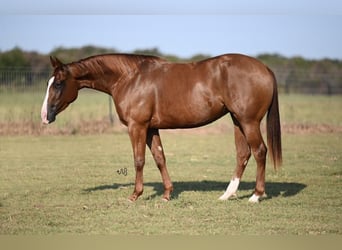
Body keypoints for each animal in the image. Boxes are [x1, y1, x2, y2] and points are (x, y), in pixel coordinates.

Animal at [41, 53, 282, 203]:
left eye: (59, 83)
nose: (45, 116)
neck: (130, 78)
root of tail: (265, 68)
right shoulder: (151, 129)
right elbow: (159, 158)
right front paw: (167, 194)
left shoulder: (137, 127)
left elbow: (139, 160)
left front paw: (135, 195)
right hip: (237, 120)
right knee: (243, 154)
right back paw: (227, 195)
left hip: (249, 121)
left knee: (260, 152)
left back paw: (256, 195)